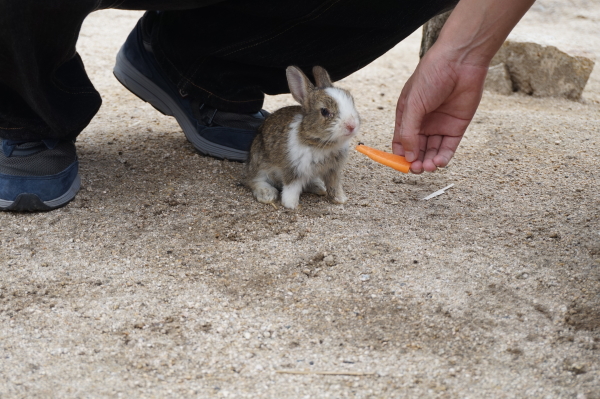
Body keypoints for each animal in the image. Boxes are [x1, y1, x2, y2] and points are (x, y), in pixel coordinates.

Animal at [245, 65, 358, 209]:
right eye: (324, 111)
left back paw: (318, 187)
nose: (351, 125)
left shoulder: (333, 171)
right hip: (259, 163)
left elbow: (334, 186)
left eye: (352, 102)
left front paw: (340, 199)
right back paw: (267, 193)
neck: (320, 142)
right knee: (253, 180)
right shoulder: (294, 170)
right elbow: (291, 188)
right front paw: (291, 205)